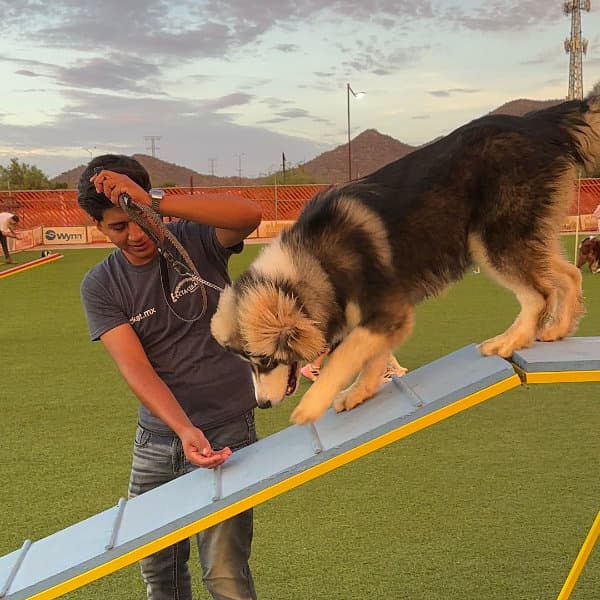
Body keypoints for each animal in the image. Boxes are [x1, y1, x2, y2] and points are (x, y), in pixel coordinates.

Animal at [210, 89, 600, 426]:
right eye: (248, 361)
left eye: (264, 359)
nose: (262, 404)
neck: (317, 262)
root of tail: (538, 121)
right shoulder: (383, 318)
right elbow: (371, 357)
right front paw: (360, 392)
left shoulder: (387, 310)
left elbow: (343, 356)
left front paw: (312, 404)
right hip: (524, 237)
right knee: (568, 275)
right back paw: (557, 329)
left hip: (491, 240)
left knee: (539, 294)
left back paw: (510, 340)